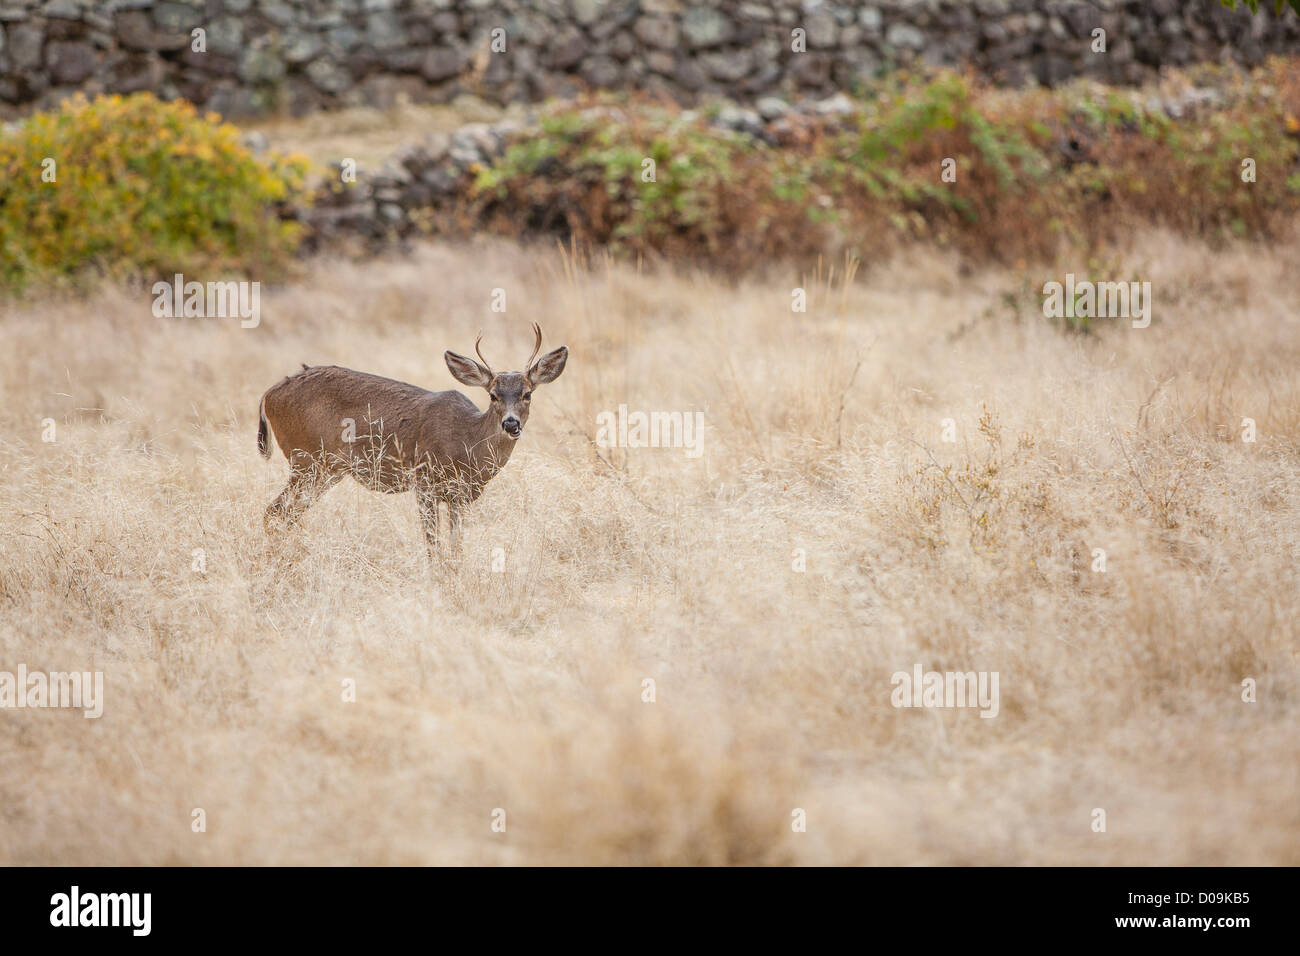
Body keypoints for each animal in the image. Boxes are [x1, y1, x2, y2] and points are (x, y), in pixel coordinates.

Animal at [256, 325, 566, 556]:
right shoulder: (425, 481)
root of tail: (269, 393)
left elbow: (456, 548)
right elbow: (433, 546)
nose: (511, 423)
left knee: (286, 515)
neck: (467, 443)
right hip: (306, 459)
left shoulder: (460, 497)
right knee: (273, 512)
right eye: (493, 395)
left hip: (325, 470)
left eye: (527, 393)